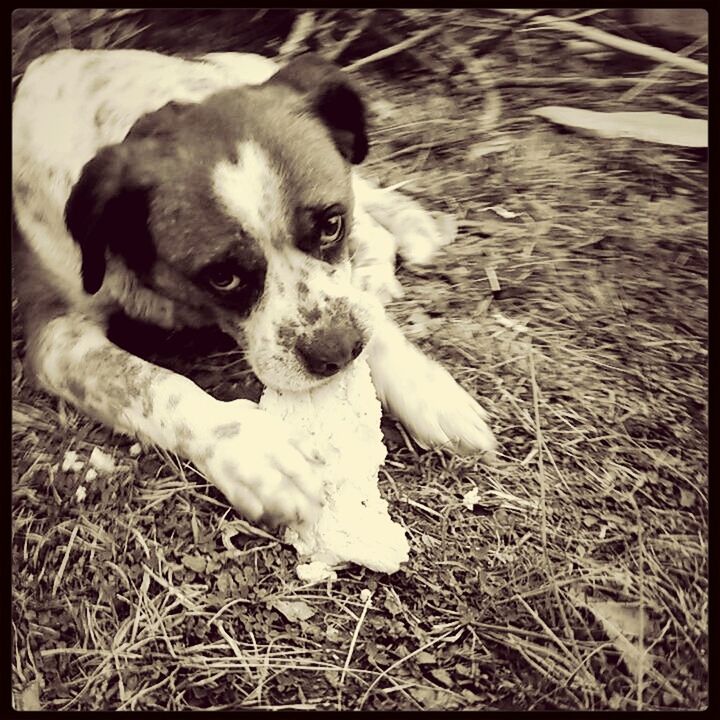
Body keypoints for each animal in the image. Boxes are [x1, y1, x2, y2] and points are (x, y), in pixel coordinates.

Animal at [12, 49, 496, 524]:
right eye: (222, 277)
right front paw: (254, 451)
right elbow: (149, 384)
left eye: (331, 226)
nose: (338, 352)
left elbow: (360, 308)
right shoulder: (57, 338)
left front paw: (424, 386)